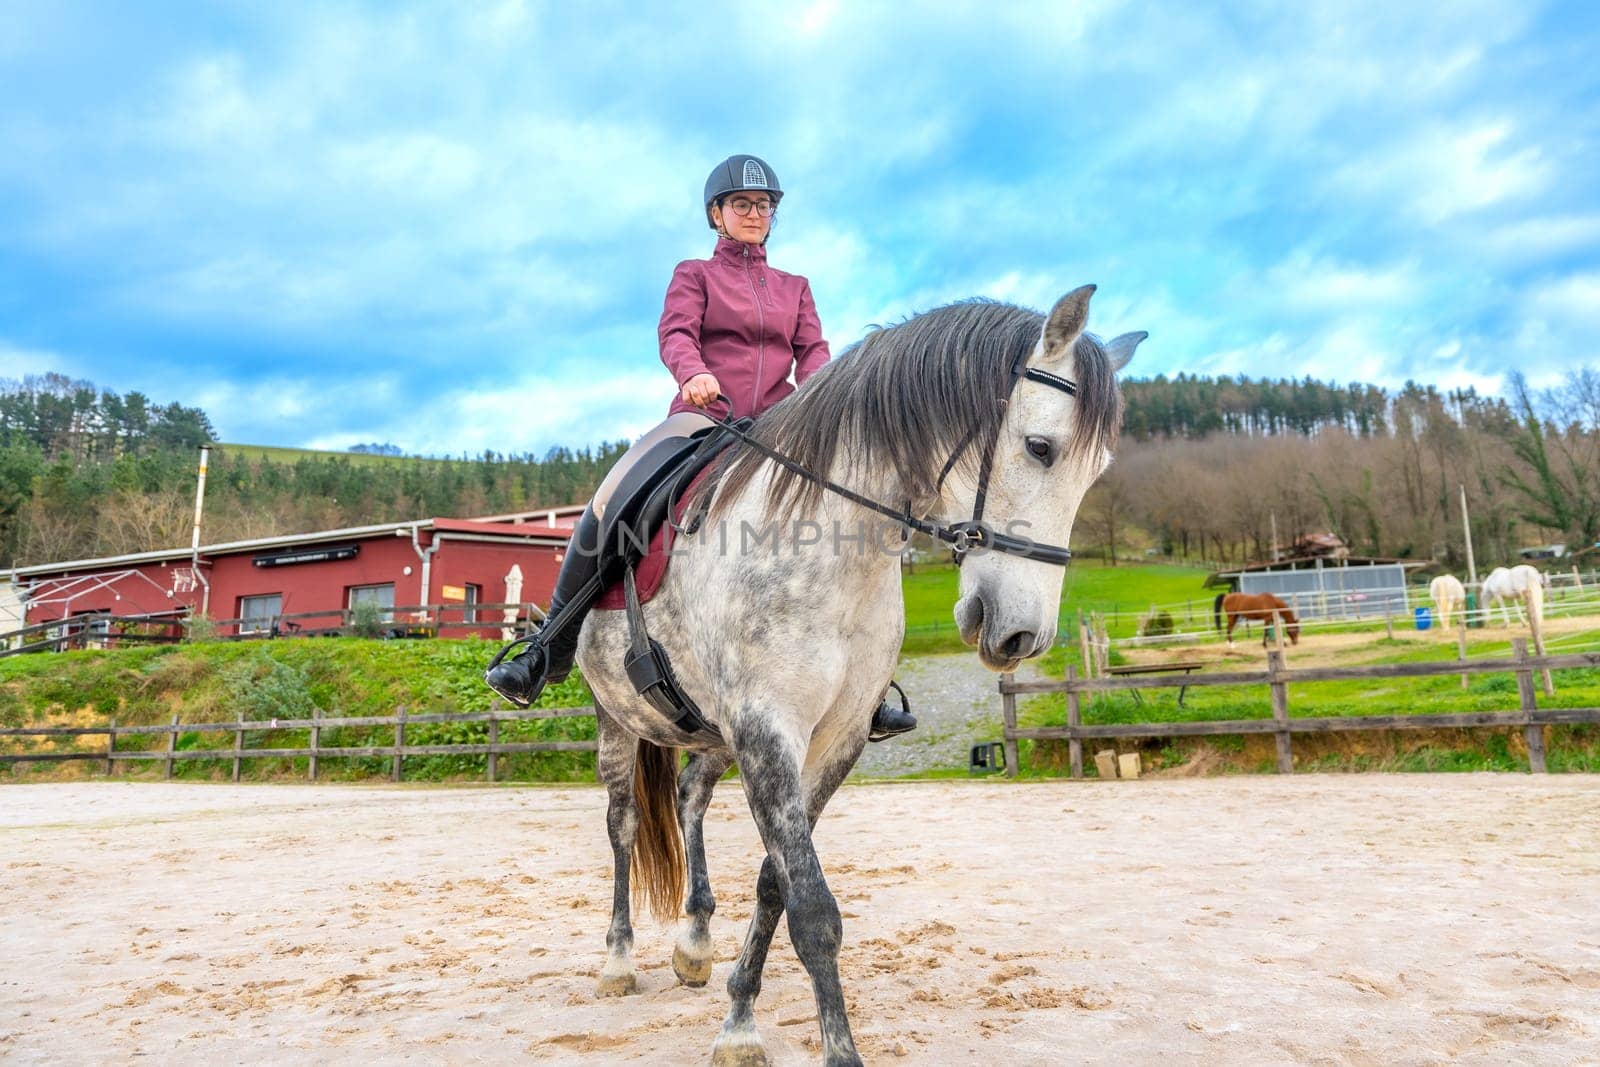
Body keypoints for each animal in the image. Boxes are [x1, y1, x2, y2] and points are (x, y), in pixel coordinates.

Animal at [576, 287, 1139, 1062]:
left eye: (1096, 473)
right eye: (1039, 447)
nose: (1022, 634)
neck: (827, 544)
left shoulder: (830, 738)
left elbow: (776, 883)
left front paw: (739, 1015)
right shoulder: (768, 733)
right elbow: (812, 908)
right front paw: (825, 1046)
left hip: (714, 735)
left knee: (689, 797)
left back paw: (693, 942)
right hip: (617, 719)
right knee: (623, 823)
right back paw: (617, 959)